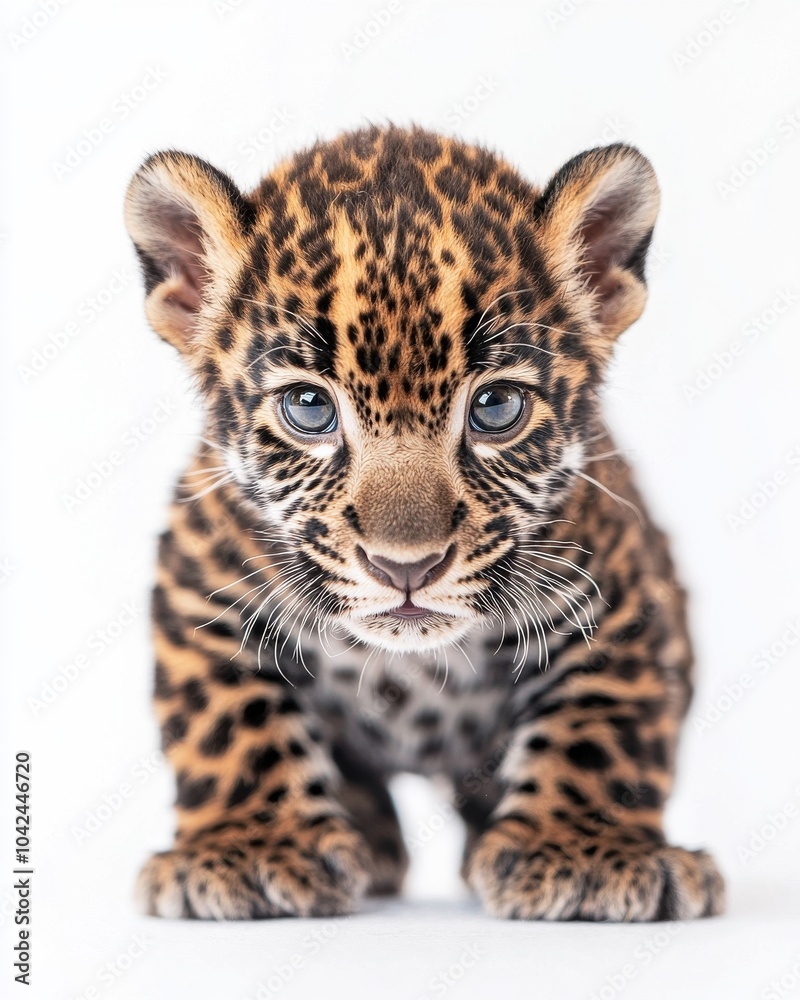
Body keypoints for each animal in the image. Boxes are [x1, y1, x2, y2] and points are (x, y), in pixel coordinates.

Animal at [124, 124, 724, 922]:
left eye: (496, 407)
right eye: (308, 408)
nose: (404, 565)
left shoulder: (624, 593)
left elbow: (600, 723)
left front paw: (584, 850)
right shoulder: (199, 584)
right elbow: (232, 720)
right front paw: (252, 847)